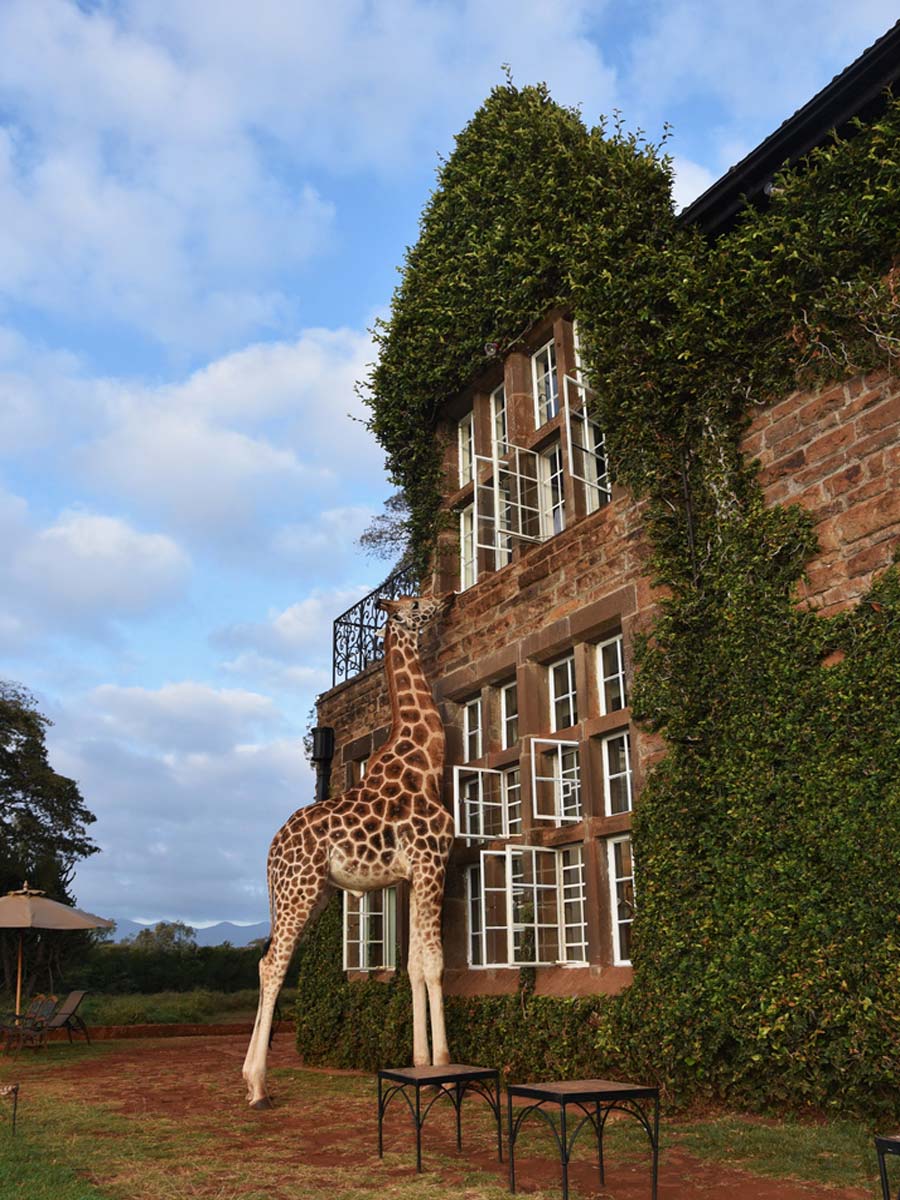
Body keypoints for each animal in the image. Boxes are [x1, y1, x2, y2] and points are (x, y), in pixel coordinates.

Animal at [243, 590, 453, 1104]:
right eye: (414, 603)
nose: (444, 598)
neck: (426, 760)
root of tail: (271, 852)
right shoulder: (433, 863)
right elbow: (435, 964)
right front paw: (445, 1068)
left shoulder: (410, 876)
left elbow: (414, 965)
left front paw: (420, 1063)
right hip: (299, 893)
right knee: (274, 965)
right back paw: (258, 1086)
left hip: (311, 895)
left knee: (263, 963)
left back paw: (248, 1079)